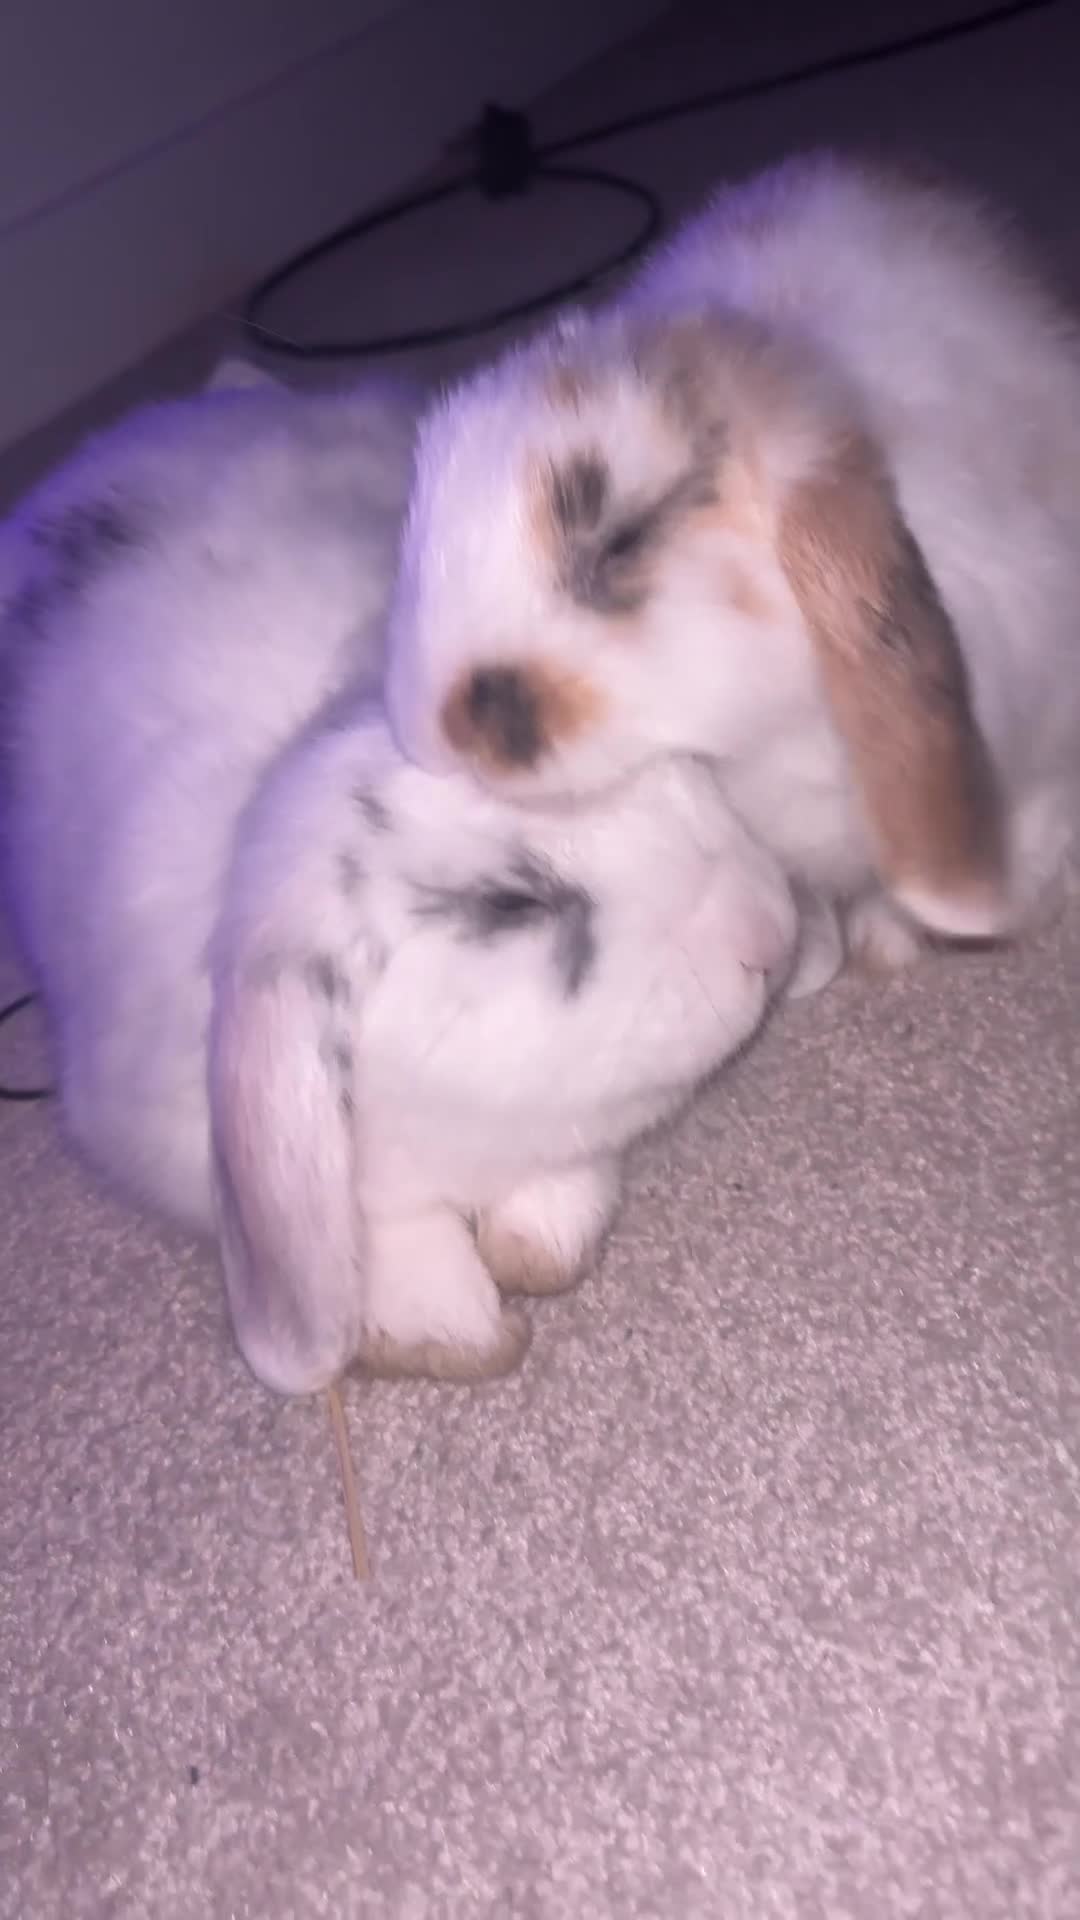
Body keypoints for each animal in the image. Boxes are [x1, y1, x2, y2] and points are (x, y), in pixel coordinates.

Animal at [0, 367, 797, 1397]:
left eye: (676, 774)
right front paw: (449, 1324)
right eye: (512, 905)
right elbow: (381, 1237)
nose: (771, 936)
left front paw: (535, 1249)